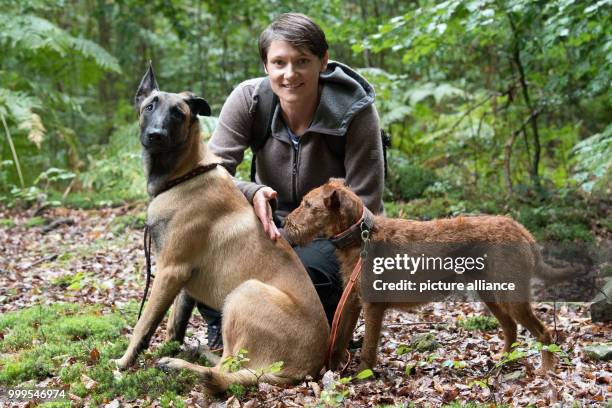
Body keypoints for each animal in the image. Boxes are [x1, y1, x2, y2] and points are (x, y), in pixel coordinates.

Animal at [284, 178, 576, 372]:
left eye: (307, 204)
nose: (285, 223)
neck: (361, 236)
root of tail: (521, 230)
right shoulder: (352, 301)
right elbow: (338, 340)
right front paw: (332, 373)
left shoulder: (373, 306)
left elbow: (368, 347)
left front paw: (361, 376)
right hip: (489, 292)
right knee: (511, 329)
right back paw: (502, 362)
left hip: (511, 295)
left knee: (544, 332)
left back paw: (546, 371)